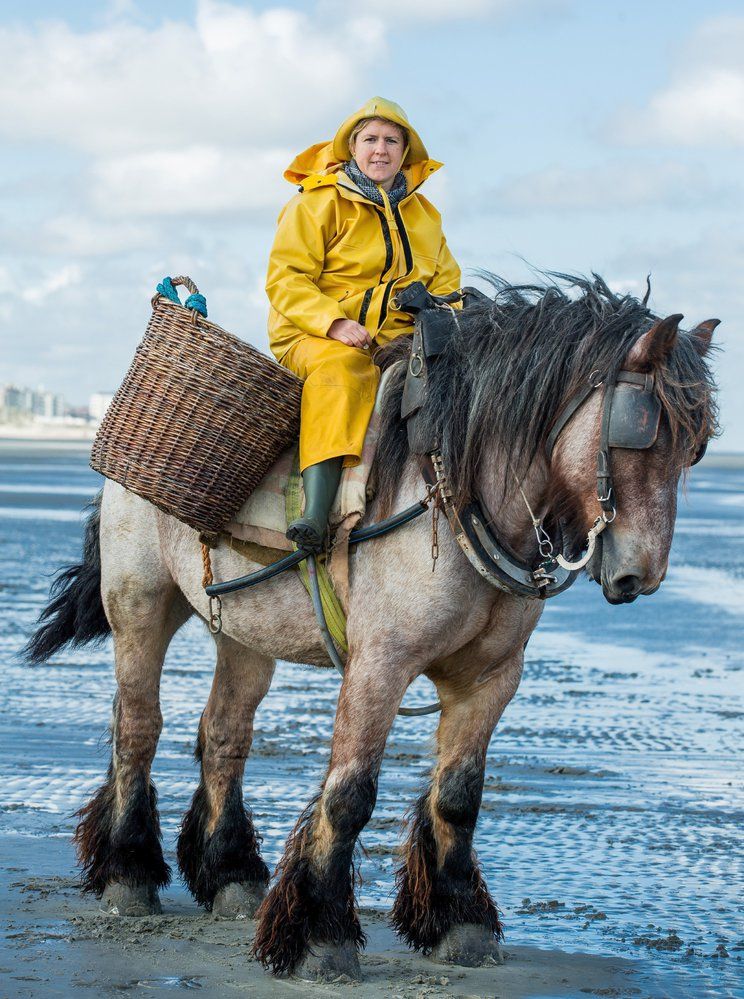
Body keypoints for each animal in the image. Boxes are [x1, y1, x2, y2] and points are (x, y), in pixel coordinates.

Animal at [26, 278, 716, 980]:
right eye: (638, 437)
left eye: (694, 450)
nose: (641, 575)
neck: (456, 491)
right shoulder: (379, 664)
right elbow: (349, 794)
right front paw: (320, 934)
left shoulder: (491, 678)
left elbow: (459, 796)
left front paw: (459, 922)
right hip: (140, 604)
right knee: (136, 729)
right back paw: (128, 873)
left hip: (244, 636)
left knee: (223, 736)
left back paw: (231, 876)